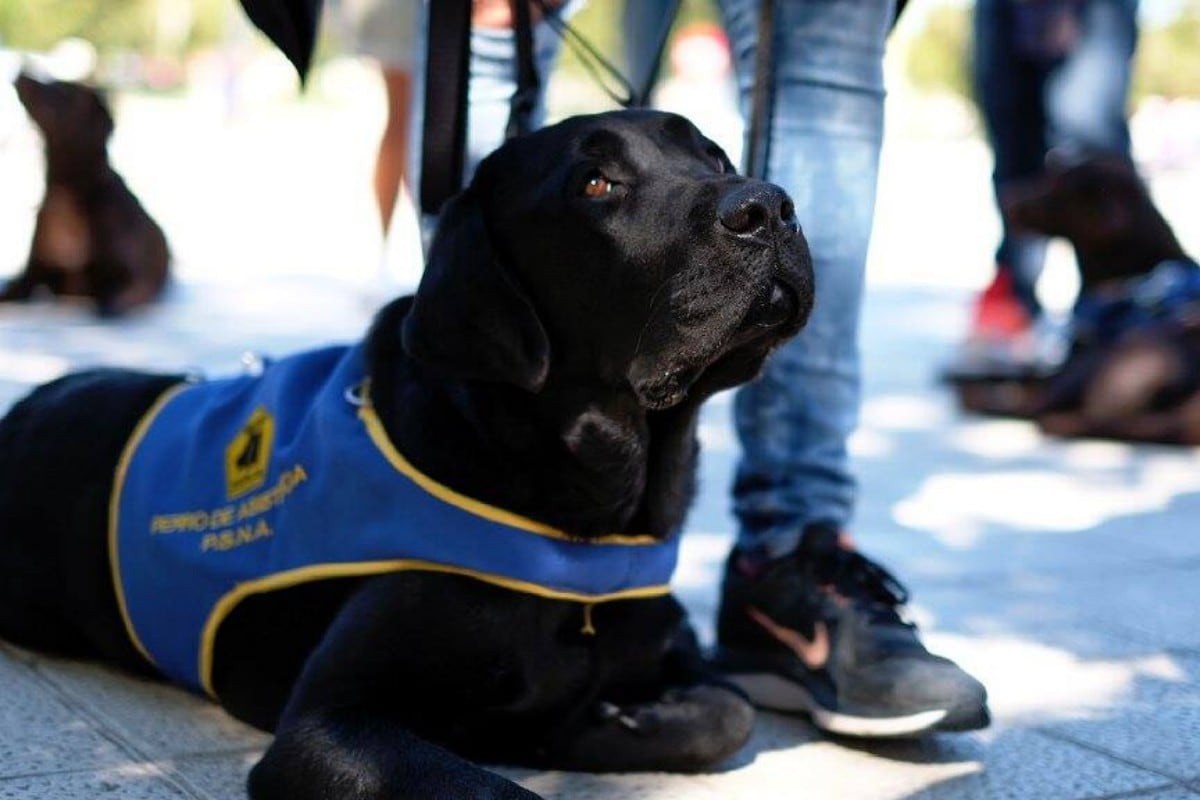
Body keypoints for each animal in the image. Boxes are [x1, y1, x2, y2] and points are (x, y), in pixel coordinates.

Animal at [0, 72, 171, 316]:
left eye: (62, 90)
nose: (22, 73)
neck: (64, 193)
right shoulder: (31, 274)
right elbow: (13, 288)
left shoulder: (134, 278)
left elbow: (114, 298)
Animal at [0, 110, 816, 800]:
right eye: (594, 183)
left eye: (716, 156)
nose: (767, 206)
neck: (589, 508)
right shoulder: (327, 725)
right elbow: (490, 789)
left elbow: (729, 711)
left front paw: (596, 724)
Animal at [950, 155, 1195, 443]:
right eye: (1049, 172)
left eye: (1055, 186)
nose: (1008, 194)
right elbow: (1018, 375)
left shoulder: (1070, 365)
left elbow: (1019, 381)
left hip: (1101, 362)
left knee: (1032, 409)